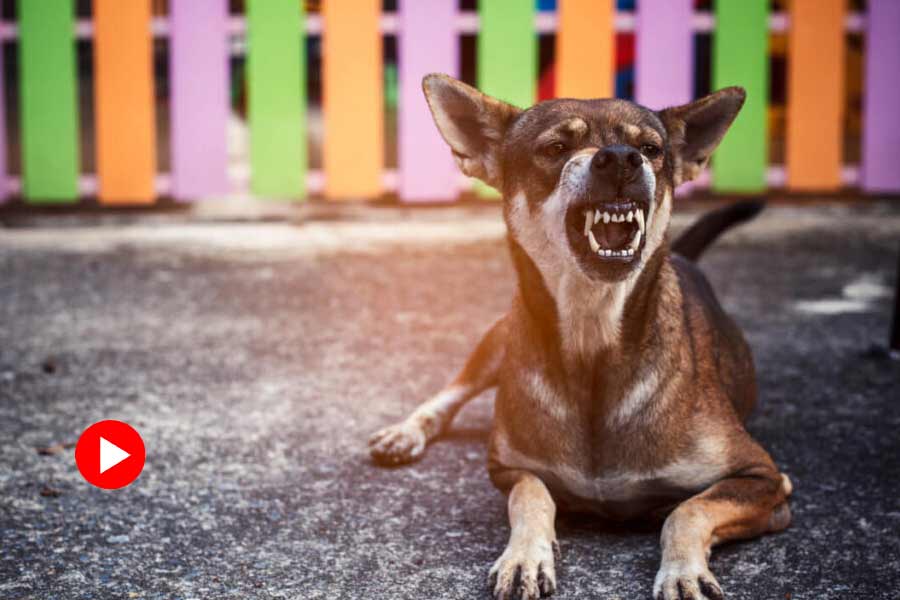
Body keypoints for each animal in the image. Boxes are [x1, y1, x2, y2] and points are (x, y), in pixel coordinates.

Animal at [366, 74, 788, 600]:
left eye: (650, 149)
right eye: (557, 148)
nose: (621, 158)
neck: (593, 338)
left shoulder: (765, 479)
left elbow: (686, 510)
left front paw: (682, 570)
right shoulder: (509, 469)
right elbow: (532, 496)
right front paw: (526, 555)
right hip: (500, 337)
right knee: (452, 391)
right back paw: (407, 431)